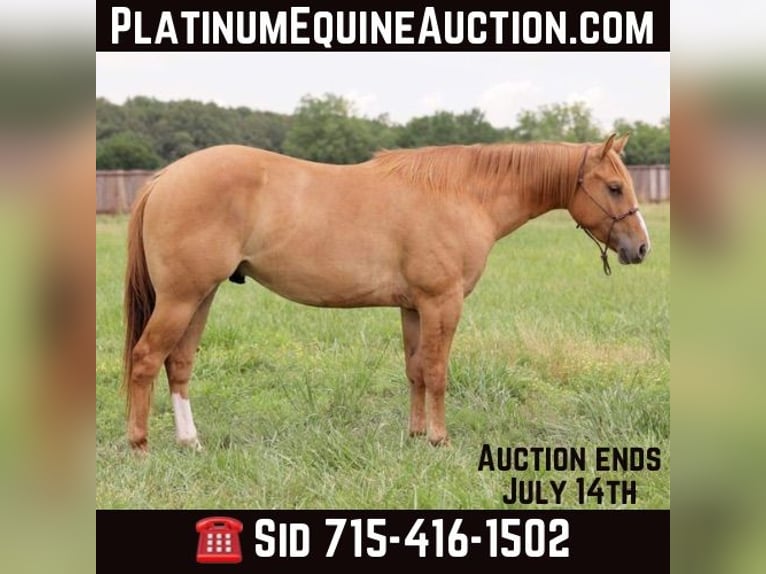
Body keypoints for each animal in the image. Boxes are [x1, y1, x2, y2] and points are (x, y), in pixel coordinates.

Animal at [122, 133, 650, 451]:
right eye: (614, 187)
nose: (641, 247)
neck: (462, 194)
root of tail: (165, 178)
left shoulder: (413, 307)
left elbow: (415, 370)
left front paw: (415, 435)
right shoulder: (442, 303)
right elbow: (437, 372)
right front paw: (439, 440)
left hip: (200, 296)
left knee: (178, 363)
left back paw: (190, 442)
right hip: (182, 298)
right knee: (147, 359)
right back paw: (140, 445)